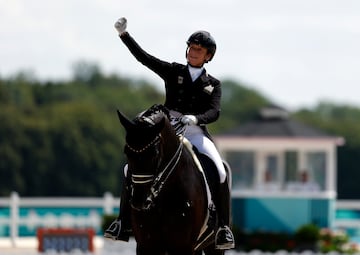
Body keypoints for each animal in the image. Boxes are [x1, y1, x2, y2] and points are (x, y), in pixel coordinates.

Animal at [116, 104, 224, 255]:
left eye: (155, 153)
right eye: (126, 151)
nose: (139, 201)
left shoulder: (183, 246)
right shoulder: (146, 246)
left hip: (213, 246)